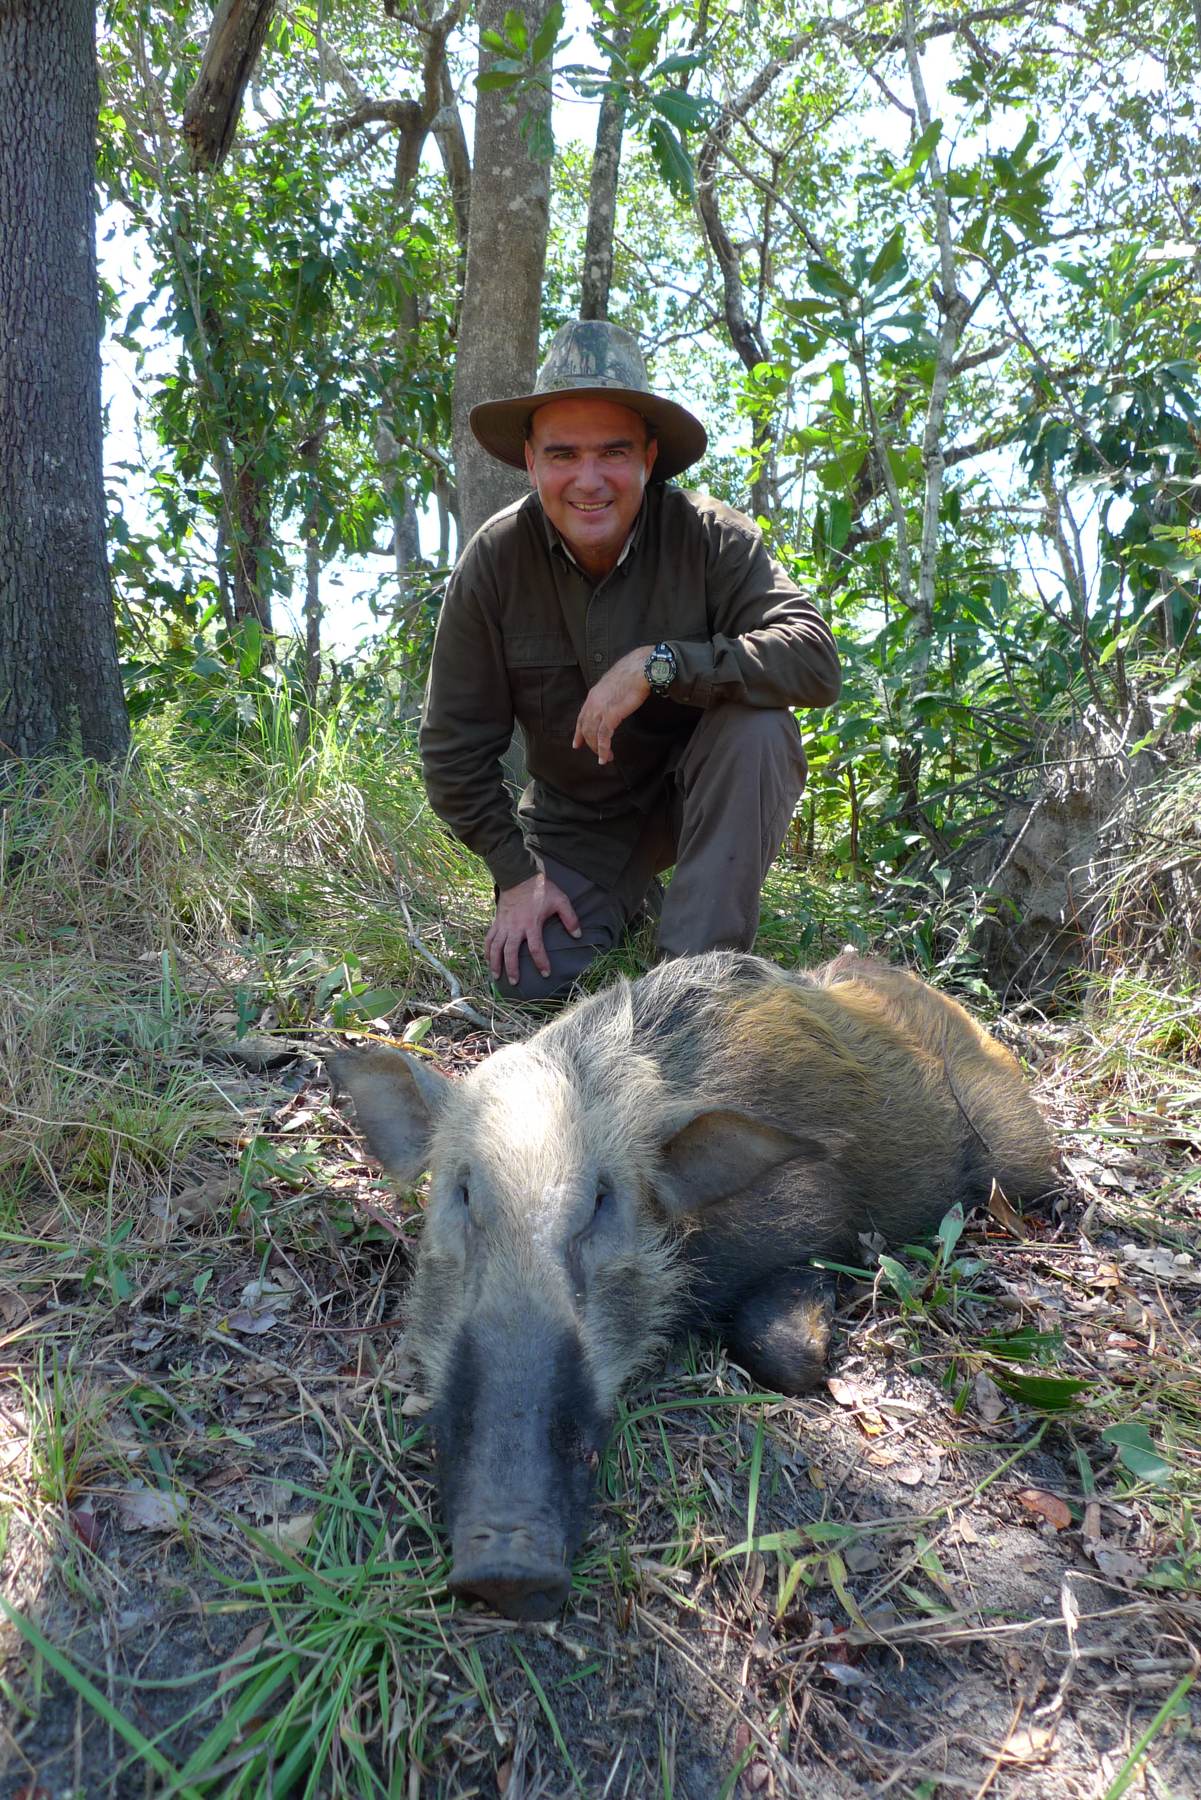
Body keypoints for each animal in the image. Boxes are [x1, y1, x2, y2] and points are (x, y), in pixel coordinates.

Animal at [330, 949, 1054, 1621]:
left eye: (601, 1203)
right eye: (462, 1194)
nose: (505, 1569)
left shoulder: (816, 1217)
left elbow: (782, 1344)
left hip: (1021, 1159)